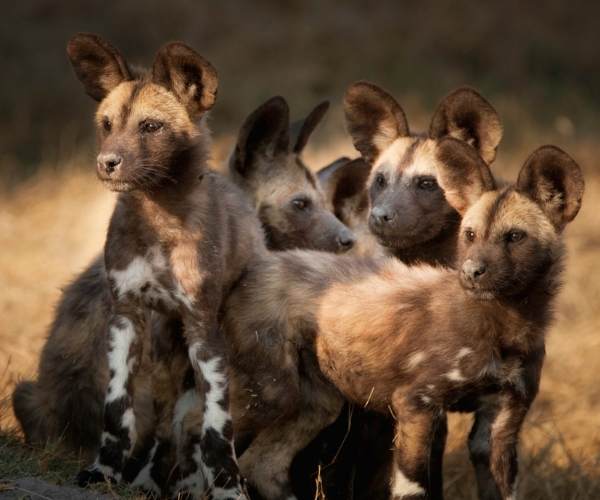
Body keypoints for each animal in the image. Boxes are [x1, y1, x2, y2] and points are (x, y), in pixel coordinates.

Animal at [58, 33, 270, 498]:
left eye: (150, 127)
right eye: (106, 124)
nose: (107, 163)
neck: (158, 222)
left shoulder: (203, 330)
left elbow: (216, 428)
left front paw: (228, 488)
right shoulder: (126, 318)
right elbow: (117, 412)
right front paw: (103, 471)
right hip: (161, 350)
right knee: (164, 421)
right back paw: (150, 481)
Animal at [224, 138, 580, 500]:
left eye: (515, 237)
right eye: (469, 234)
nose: (470, 272)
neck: (506, 324)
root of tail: (263, 261)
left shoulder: (500, 424)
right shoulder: (416, 406)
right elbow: (413, 488)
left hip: (316, 405)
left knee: (261, 465)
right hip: (269, 395)